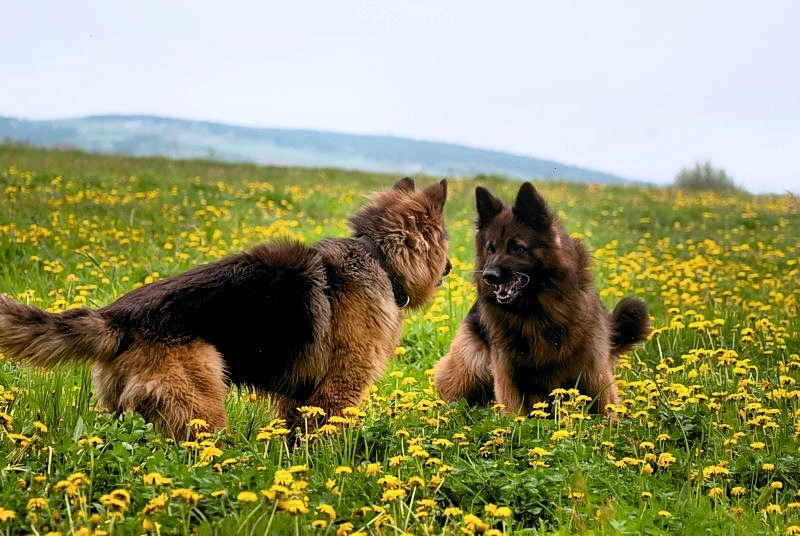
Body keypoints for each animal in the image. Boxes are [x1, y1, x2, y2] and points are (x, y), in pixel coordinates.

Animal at [0, 178, 450, 438]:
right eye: (444, 239)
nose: (451, 267)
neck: (378, 256)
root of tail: (117, 317)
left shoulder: (298, 394)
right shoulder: (338, 388)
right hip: (201, 402)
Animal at [432, 183, 648, 414]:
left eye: (517, 247)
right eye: (490, 248)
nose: (488, 276)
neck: (536, 308)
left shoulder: (592, 361)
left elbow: (607, 404)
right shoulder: (504, 365)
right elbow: (512, 408)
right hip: (471, 362)